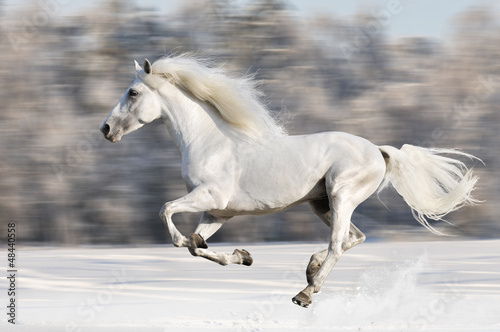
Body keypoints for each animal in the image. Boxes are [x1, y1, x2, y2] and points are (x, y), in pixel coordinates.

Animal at [100, 55, 480, 308]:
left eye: (133, 93)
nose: (105, 129)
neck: (209, 141)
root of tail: (378, 151)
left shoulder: (209, 197)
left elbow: (168, 214)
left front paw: (193, 242)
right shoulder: (218, 212)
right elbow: (197, 246)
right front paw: (242, 256)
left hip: (341, 196)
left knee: (339, 244)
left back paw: (305, 293)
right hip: (321, 204)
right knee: (353, 238)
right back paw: (310, 272)